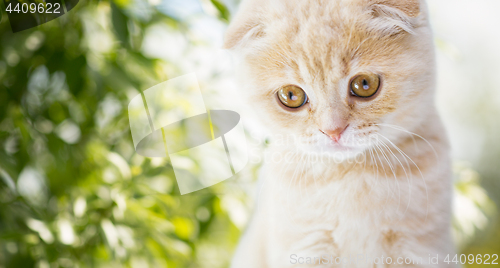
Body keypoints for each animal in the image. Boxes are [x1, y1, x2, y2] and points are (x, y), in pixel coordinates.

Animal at [226, 0, 458, 266]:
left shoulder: (422, 249)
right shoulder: (305, 249)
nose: (333, 130)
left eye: (365, 84)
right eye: (291, 96)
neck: (352, 176)